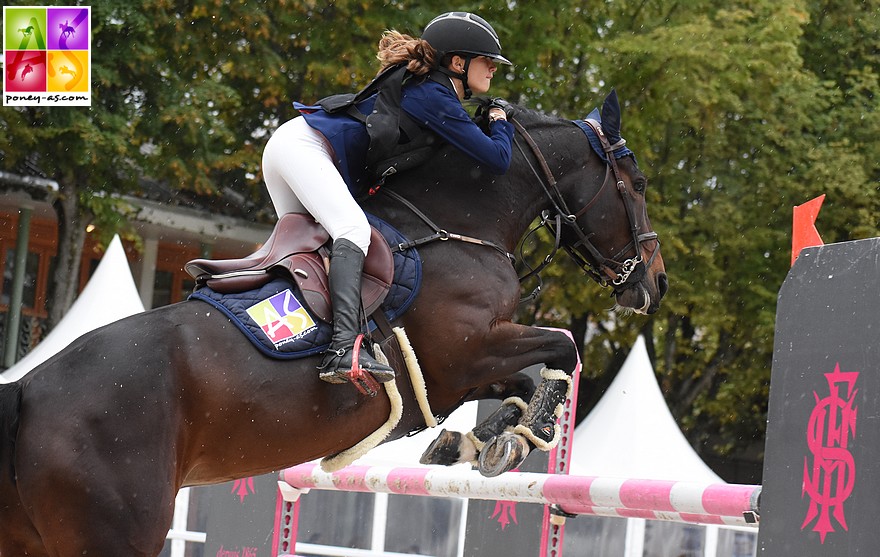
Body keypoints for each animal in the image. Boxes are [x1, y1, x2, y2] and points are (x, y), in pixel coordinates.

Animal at [0, 91, 666, 556]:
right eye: (636, 184)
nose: (654, 283)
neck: (456, 225)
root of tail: (27, 389)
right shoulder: (465, 354)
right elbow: (563, 346)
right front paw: (518, 436)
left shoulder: (462, 373)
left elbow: (526, 378)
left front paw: (479, 441)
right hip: (116, 529)